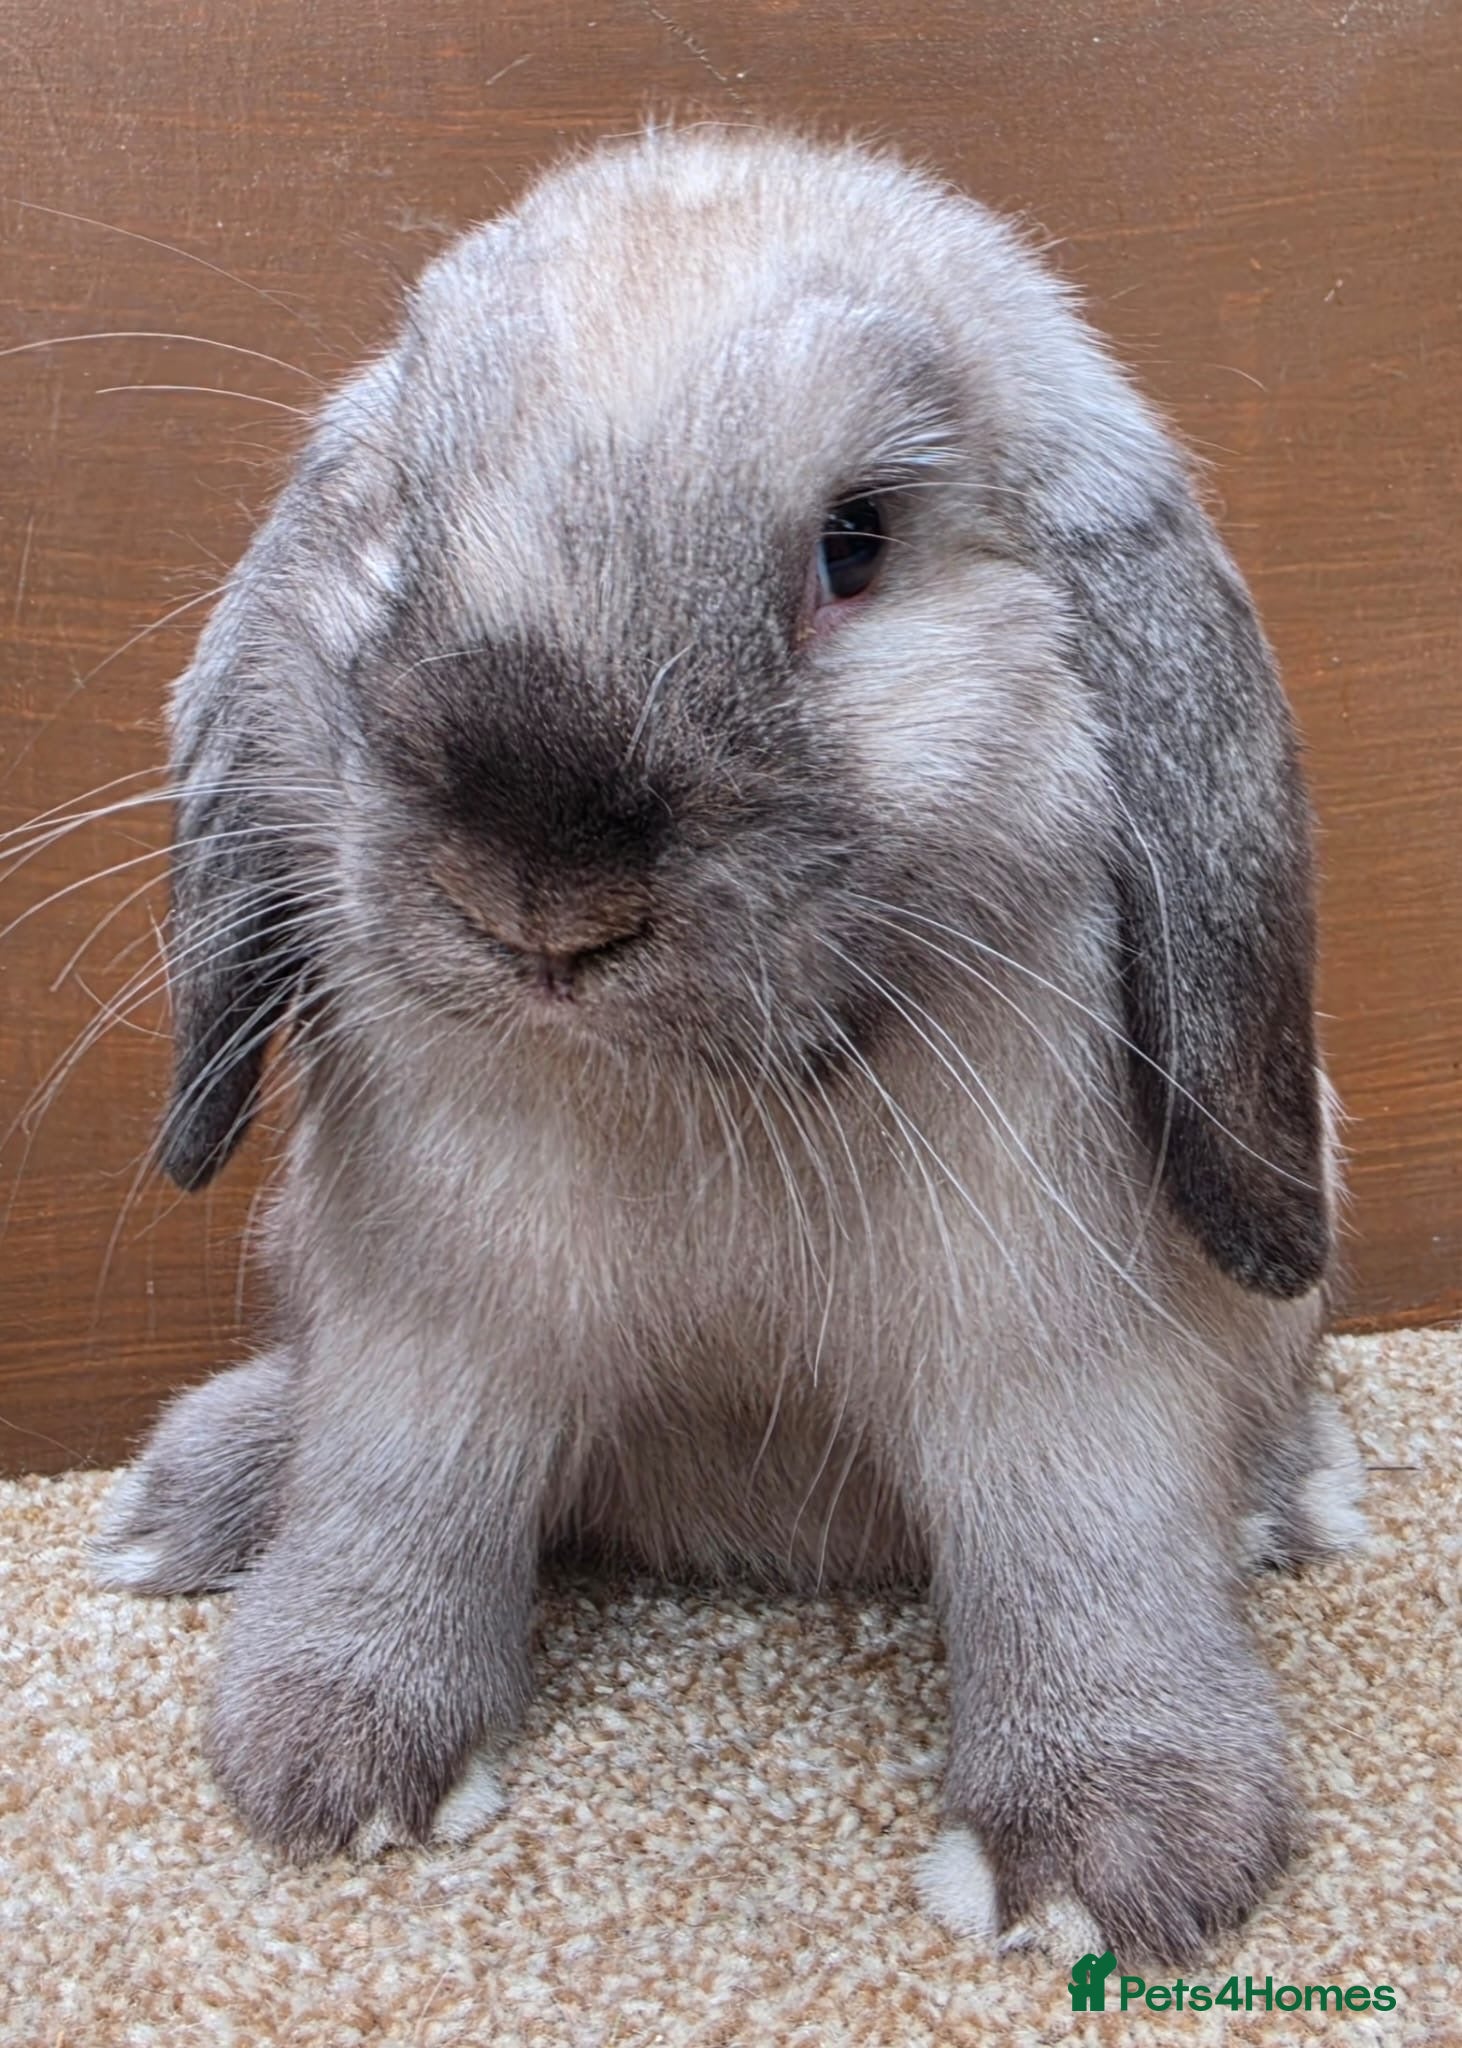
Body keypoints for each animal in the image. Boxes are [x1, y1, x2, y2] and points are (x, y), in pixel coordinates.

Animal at [92, 124, 1367, 1962]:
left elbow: (1080, 1550)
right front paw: (330, 1762)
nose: (539, 886)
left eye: (856, 542)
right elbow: (400, 1498)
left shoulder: (1054, 1360)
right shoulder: (436, 1330)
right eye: (396, 522)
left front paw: (1111, 1859)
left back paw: (1282, 1500)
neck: (703, 1099)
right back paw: (198, 1493)